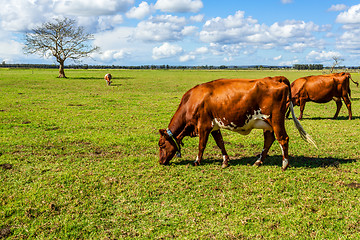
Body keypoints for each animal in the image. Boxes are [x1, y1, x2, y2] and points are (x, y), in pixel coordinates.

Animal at [158, 76, 316, 171]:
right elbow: (220, 143)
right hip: (268, 124)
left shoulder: (203, 126)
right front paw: (225, 161)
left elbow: (201, 145)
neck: (192, 101)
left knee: (283, 139)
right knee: (269, 140)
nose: (160, 161)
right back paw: (258, 161)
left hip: (276, 120)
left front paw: (197, 161)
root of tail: (275, 78)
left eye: (161, 145)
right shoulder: (214, 126)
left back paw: (284, 164)